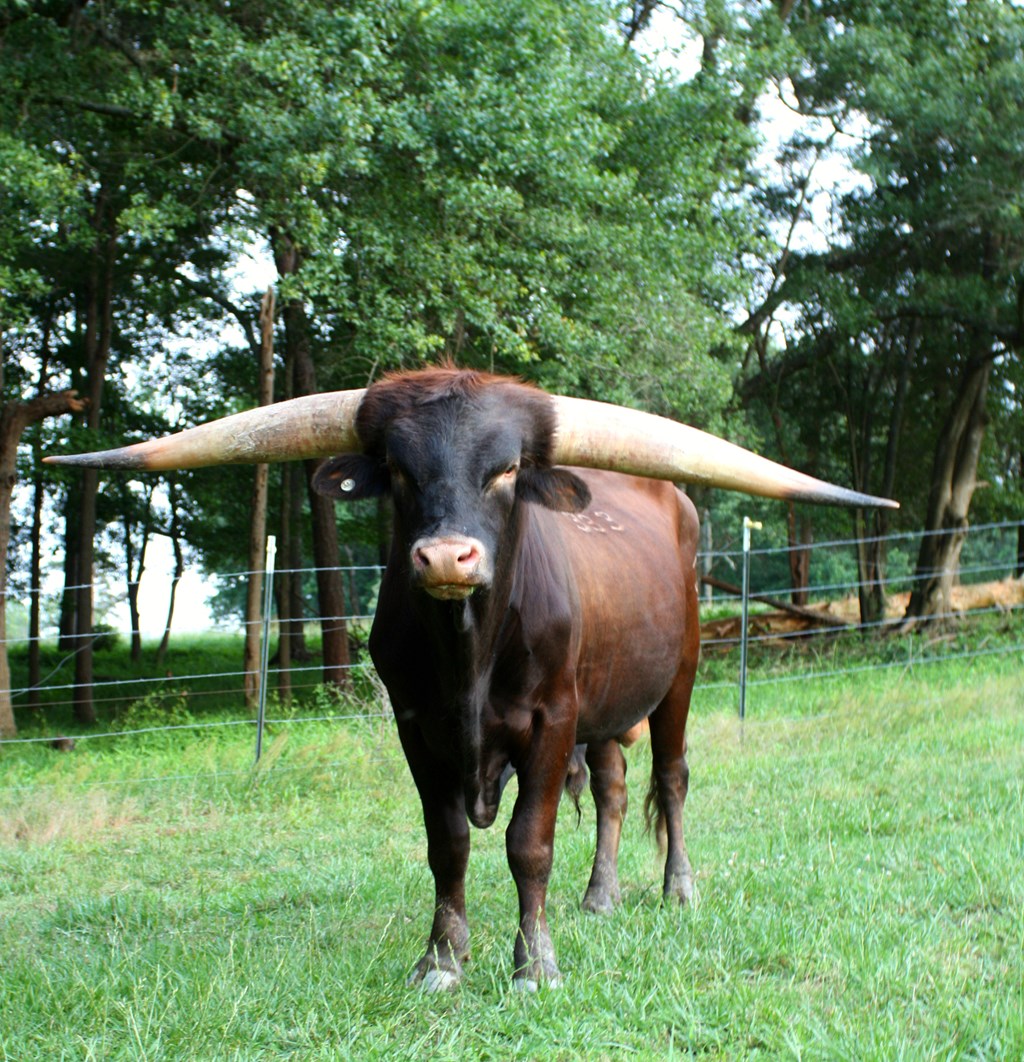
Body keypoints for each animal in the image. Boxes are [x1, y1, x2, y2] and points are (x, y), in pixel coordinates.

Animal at [47, 366, 896, 991]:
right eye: (397, 469)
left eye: (507, 470)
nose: (447, 557)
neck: (469, 662)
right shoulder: (419, 728)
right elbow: (447, 844)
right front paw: (442, 959)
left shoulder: (551, 723)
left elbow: (530, 844)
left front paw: (533, 965)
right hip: (605, 700)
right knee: (616, 787)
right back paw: (602, 894)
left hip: (679, 676)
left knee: (673, 776)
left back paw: (677, 888)